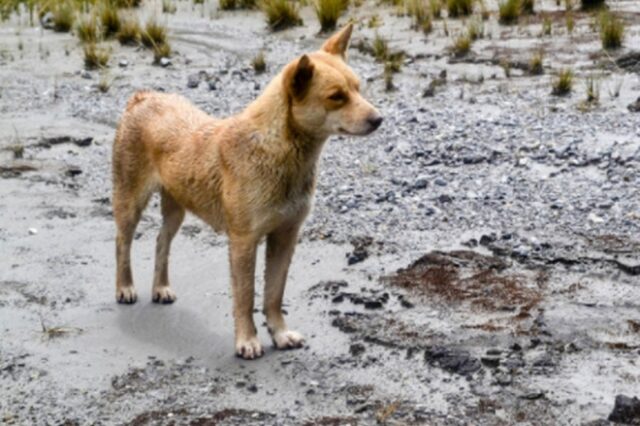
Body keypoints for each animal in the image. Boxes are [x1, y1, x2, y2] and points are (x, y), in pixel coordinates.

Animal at [111, 24, 380, 360]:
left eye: (358, 88)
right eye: (336, 97)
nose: (378, 119)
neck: (279, 151)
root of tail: (143, 97)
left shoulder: (286, 236)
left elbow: (273, 295)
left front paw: (280, 334)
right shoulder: (243, 241)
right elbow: (245, 297)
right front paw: (247, 341)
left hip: (176, 208)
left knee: (162, 242)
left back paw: (160, 287)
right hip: (130, 201)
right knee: (122, 243)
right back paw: (124, 287)